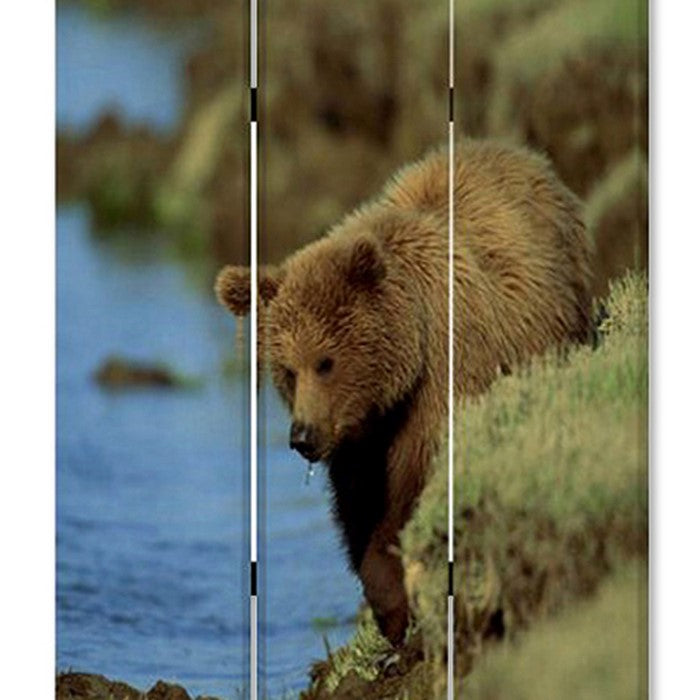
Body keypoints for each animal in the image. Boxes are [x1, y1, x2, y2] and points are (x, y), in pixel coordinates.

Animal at [215, 139, 592, 645]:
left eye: (326, 362)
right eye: (287, 370)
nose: (303, 437)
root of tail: (524, 156)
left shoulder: (442, 382)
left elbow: (413, 488)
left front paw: (401, 603)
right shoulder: (358, 440)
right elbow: (359, 507)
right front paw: (389, 607)